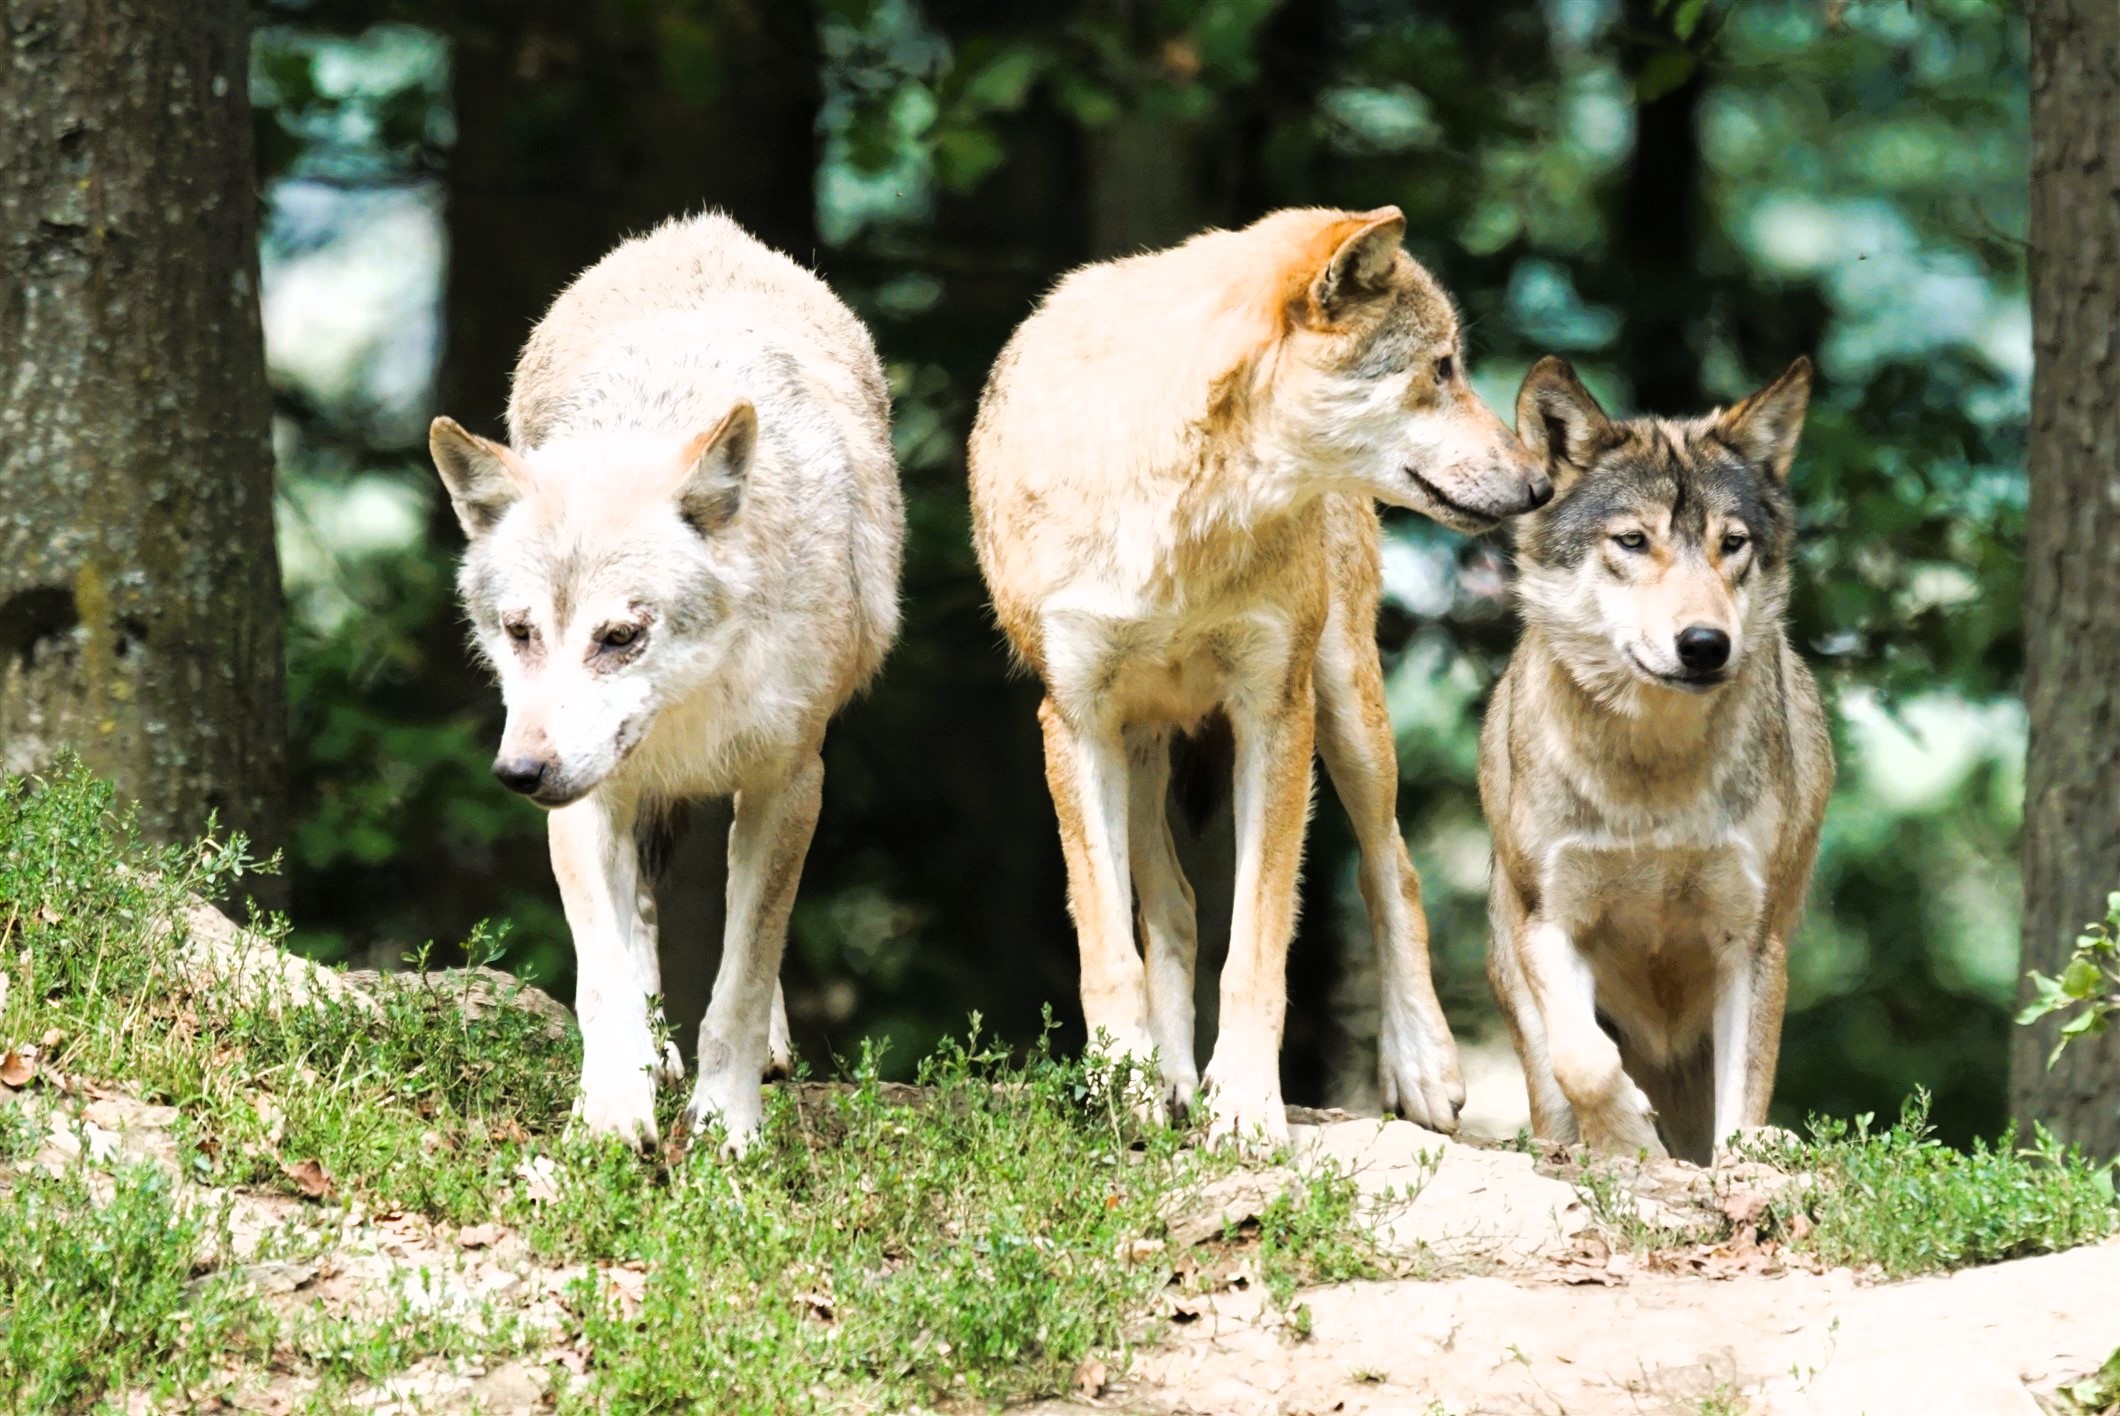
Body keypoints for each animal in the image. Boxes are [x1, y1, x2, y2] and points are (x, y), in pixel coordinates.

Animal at [426, 213, 904, 1151]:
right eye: (521, 632)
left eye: (621, 637)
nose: (519, 773)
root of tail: (697, 227)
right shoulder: (585, 798)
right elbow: (604, 979)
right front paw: (613, 1115)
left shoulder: (791, 782)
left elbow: (743, 980)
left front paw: (727, 1126)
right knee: (640, 919)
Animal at [969, 206, 1552, 1149]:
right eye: (1441, 368)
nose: (1540, 484)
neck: (1183, 517)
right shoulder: (1074, 721)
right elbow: (1108, 947)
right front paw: (1127, 1089)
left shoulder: (1275, 713)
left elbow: (1257, 947)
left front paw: (1243, 1105)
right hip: (1139, 746)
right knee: (1170, 906)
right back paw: (1168, 1079)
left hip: (1347, 709)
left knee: (1392, 869)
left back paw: (1421, 1067)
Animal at [1480, 356, 1833, 1164]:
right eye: (1634, 541)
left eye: (1732, 543)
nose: (1704, 645)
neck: (1653, 773)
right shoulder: (1551, 919)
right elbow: (1583, 1061)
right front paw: (1629, 1140)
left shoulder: (1751, 941)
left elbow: (1744, 1109)